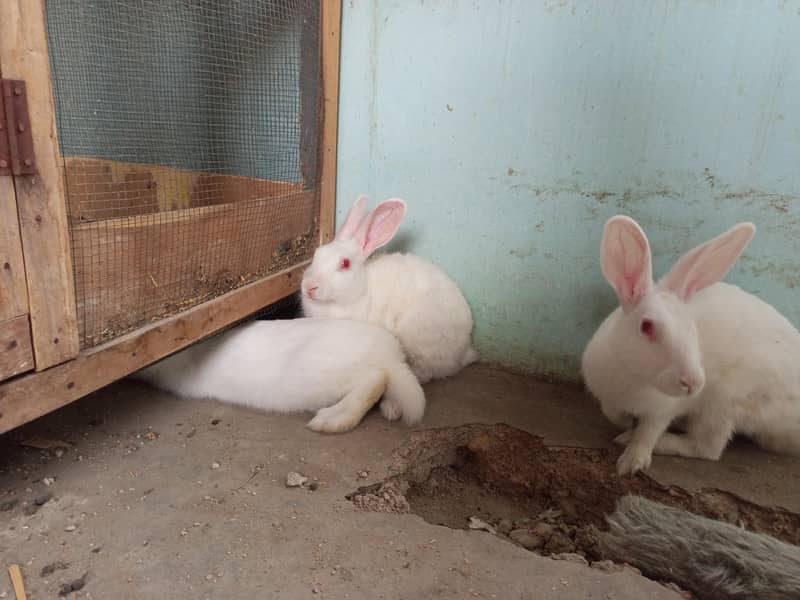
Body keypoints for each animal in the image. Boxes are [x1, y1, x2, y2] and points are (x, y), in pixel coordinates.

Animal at [581, 215, 800, 476]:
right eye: (647, 326)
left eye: (692, 327)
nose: (693, 383)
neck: (634, 376)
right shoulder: (607, 397)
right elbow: (612, 414)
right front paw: (625, 424)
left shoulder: (662, 410)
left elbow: (648, 434)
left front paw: (630, 462)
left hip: (725, 402)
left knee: (707, 448)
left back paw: (658, 441)